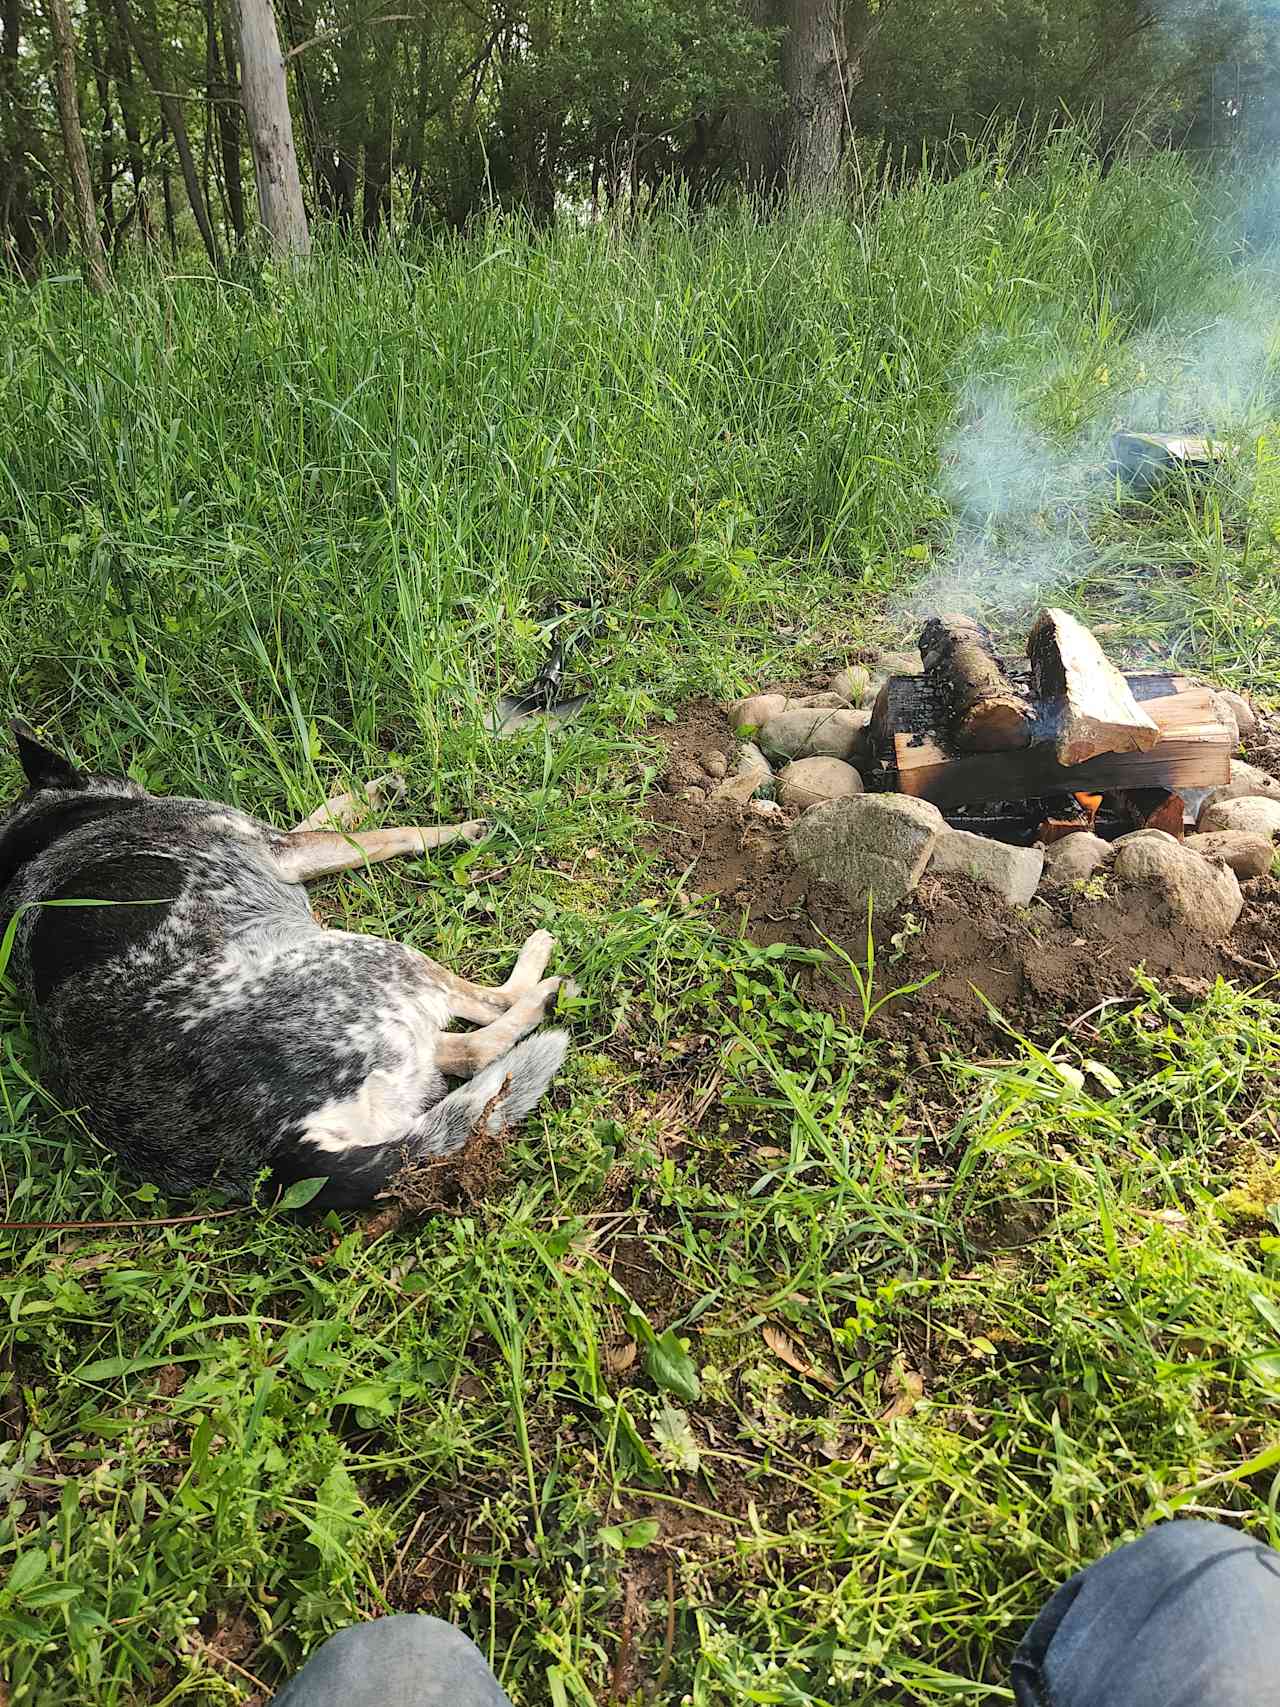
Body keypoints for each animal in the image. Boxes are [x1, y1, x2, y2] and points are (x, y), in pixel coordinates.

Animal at [0, 727, 570, 1208]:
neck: (54, 834)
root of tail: (280, 1150)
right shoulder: (283, 850)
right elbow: (393, 832)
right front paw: (456, 827)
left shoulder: (288, 842)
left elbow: (328, 809)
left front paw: (376, 787)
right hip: (378, 956)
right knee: (484, 1031)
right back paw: (541, 978)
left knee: (460, 1054)